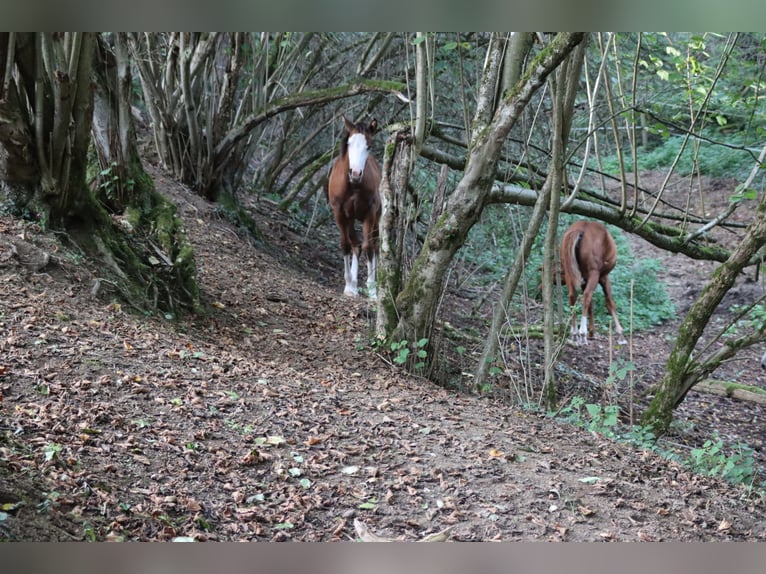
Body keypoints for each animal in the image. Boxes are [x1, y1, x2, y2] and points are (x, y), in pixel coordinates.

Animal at [327, 114, 382, 298]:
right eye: (349, 144)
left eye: (368, 146)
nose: (356, 174)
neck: (353, 186)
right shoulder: (340, 213)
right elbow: (345, 245)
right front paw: (350, 286)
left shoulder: (370, 214)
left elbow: (369, 247)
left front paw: (372, 290)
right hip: (350, 218)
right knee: (355, 245)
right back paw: (353, 285)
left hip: (377, 219)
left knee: (374, 246)